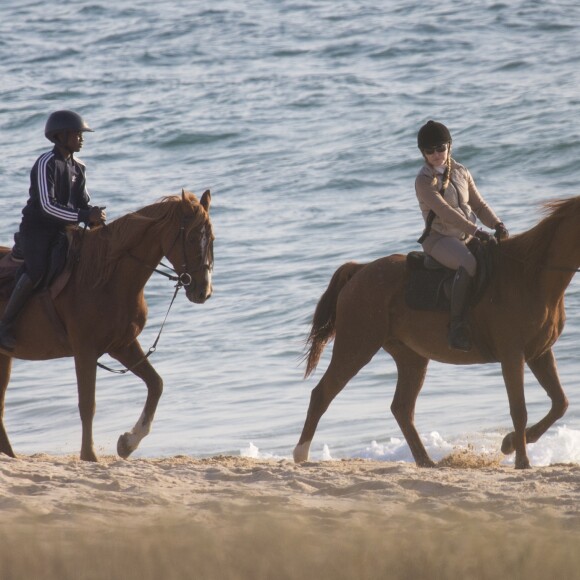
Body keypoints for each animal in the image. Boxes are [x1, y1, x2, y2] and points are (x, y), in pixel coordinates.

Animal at [0, 190, 213, 462]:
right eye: (192, 238)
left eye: (212, 238)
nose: (203, 291)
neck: (105, 276)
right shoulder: (85, 351)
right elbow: (87, 404)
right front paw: (89, 455)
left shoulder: (122, 345)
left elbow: (156, 384)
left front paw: (128, 442)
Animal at [294, 197, 580, 468]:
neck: (530, 276)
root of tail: (360, 270)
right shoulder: (513, 355)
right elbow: (519, 409)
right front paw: (521, 460)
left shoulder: (539, 354)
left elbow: (560, 403)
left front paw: (509, 443)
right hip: (356, 348)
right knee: (322, 394)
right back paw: (301, 454)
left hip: (411, 358)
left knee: (402, 408)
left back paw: (425, 461)